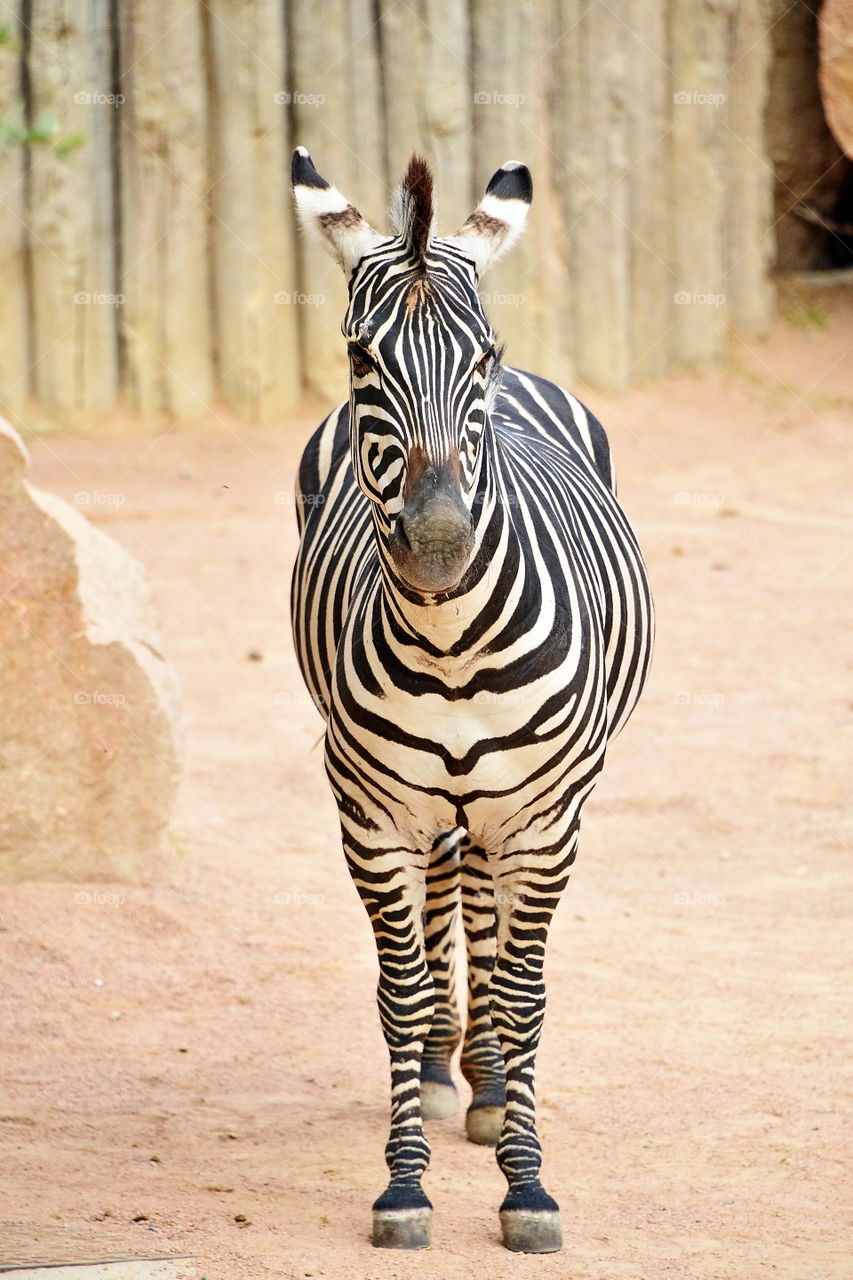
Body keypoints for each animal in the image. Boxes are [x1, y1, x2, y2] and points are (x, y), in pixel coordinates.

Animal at [289, 147, 653, 1249]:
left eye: (482, 357)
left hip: (515, 801)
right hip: (437, 803)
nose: (441, 545)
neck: (450, 648)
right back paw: (451, 1072)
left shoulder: (544, 819)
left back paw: (491, 1087)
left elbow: (528, 994)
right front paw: (404, 1185)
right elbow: (400, 994)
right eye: (360, 360)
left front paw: (525, 1184)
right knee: (453, 897)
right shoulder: (373, 814)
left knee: (486, 910)